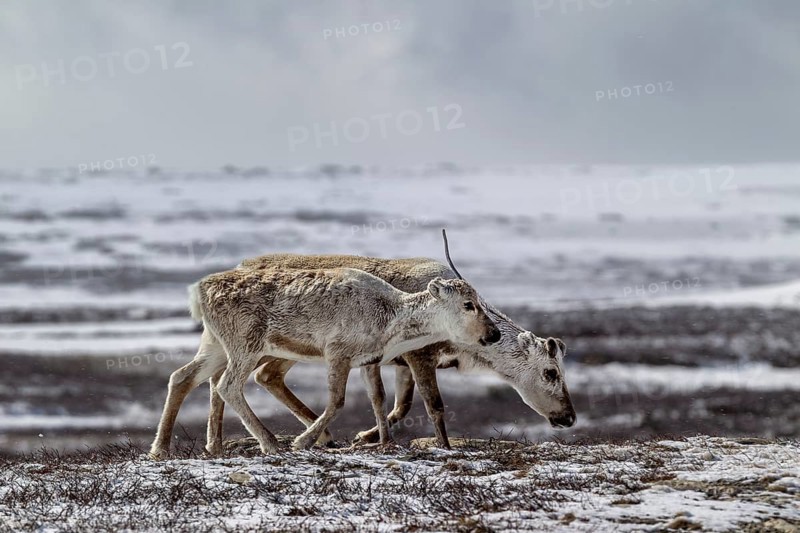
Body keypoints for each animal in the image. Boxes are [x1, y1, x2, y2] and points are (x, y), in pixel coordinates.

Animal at [149, 266, 500, 459]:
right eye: (468, 304)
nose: (494, 334)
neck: (391, 320)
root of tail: (198, 291)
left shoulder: (367, 360)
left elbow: (377, 398)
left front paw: (382, 443)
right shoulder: (337, 352)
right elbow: (337, 401)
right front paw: (303, 441)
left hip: (215, 342)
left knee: (181, 376)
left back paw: (163, 448)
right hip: (245, 343)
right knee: (227, 384)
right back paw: (271, 443)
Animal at [201, 232, 576, 455]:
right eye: (551, 372)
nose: (569, 418)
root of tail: (239, 264)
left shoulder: (398, 363)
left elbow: (397, 405)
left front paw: (369, 438)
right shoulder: (419, 356)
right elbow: (433, 405)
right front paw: (443, 446)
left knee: (240, 377)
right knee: (239, 378)